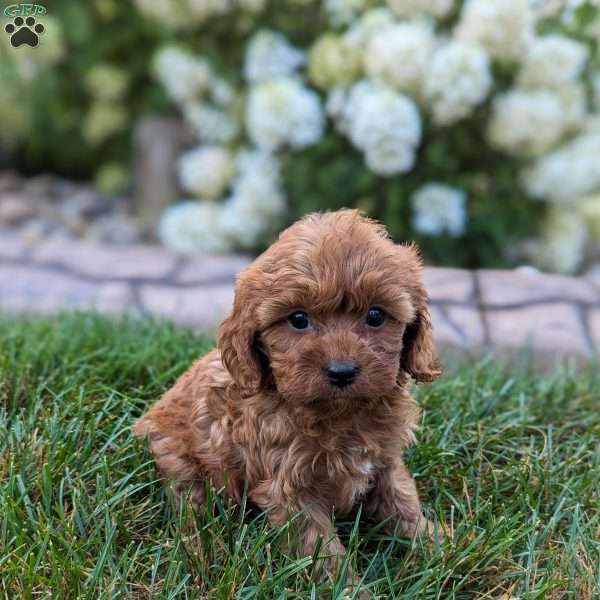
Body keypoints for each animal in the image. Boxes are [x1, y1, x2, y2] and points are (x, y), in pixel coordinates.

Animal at [135, 209, 440, 576]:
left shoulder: (384, 461)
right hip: (181, 462)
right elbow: (321, 549)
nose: (342, 371)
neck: (341, 415)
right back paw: (203, 554)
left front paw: (436, 547)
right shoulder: (289, 489)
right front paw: (346, 585)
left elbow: (403, 503)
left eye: (376, 315)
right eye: (298, 319)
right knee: (191, 509)